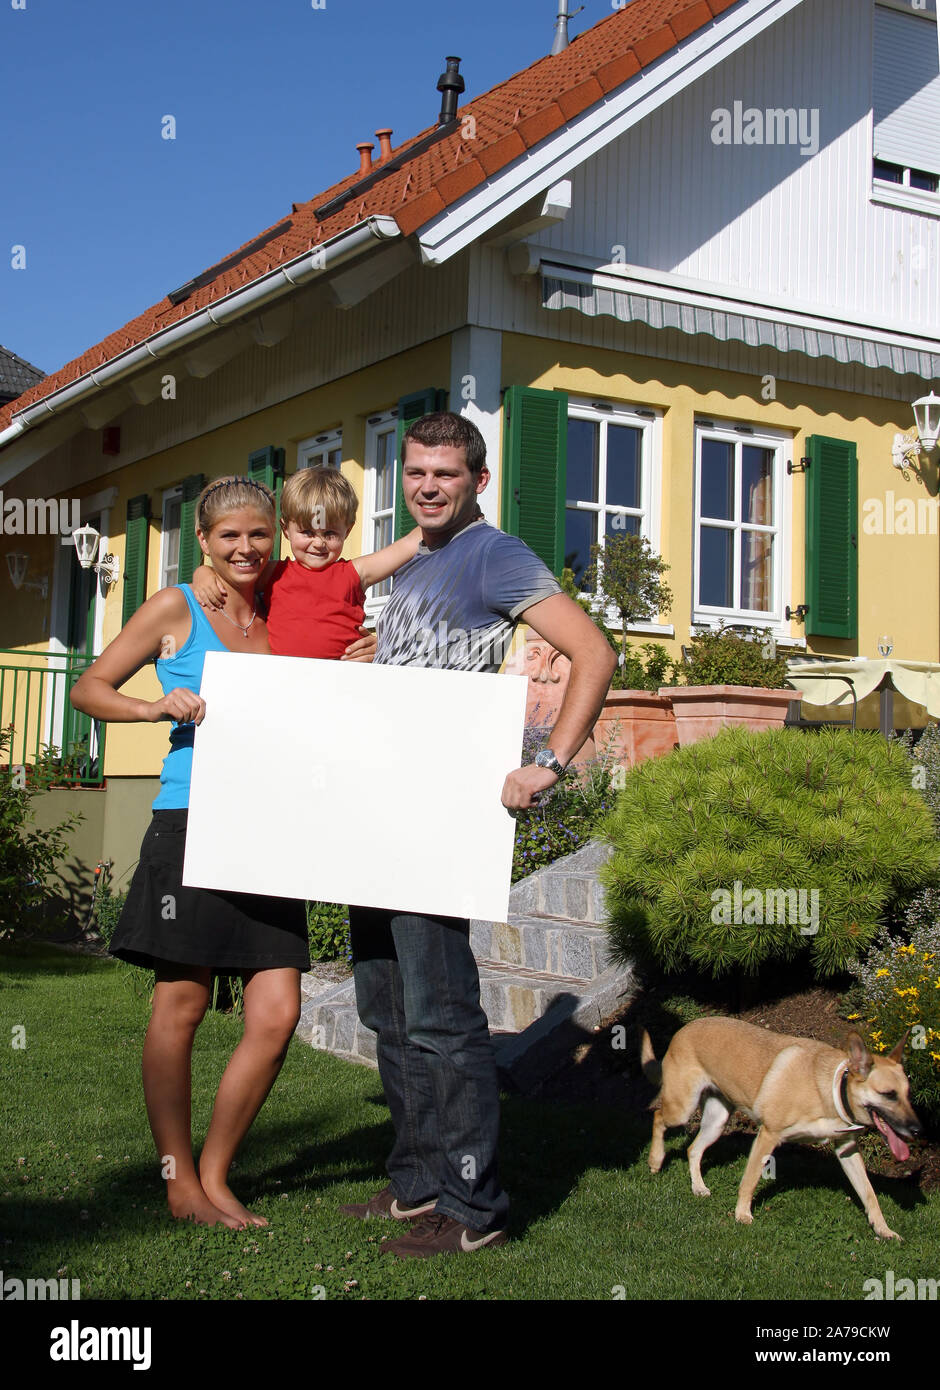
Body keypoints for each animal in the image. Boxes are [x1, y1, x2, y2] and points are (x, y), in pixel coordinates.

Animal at [642, 1023, 923, 1239]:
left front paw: (883, 1229)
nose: (917, 1130)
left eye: (908, 1095)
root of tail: (683, 1030)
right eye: (889, 1094)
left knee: (693, 1149)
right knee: (658, 1118)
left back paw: (698, 1187)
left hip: (716, 1121)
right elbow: (750, 1180)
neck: (830, 1089)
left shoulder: (847, 1149)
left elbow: (869, 1193)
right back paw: (655, 1160)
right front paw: (742, 1214)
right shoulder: (768, 1135)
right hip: (683, 1108)